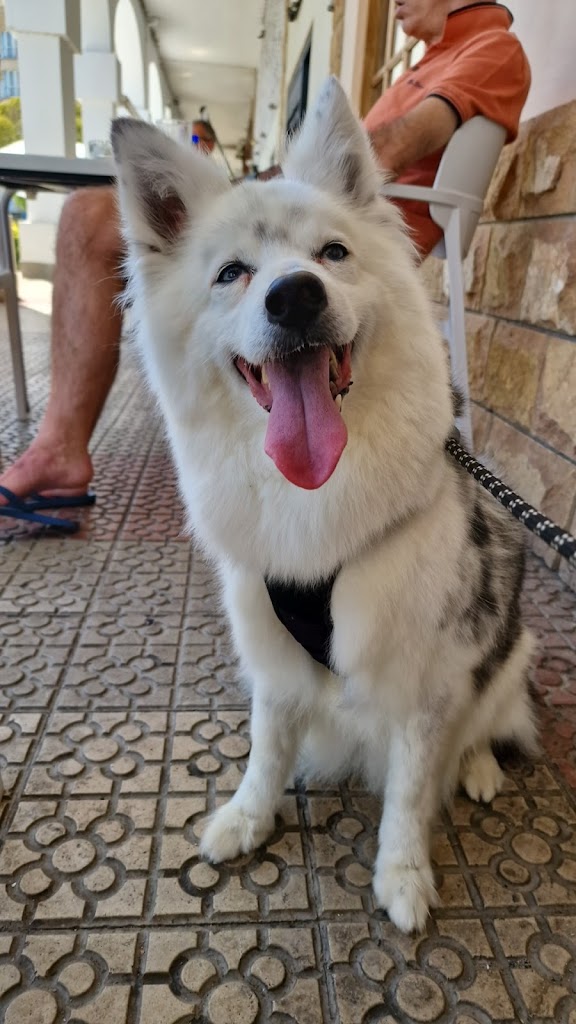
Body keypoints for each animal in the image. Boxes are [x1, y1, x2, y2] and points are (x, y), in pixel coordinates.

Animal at [112, 78, 537, 933]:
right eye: (233, 273)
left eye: (332, 254)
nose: (296, 297)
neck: (313, 495)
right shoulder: (270, 653)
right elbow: (267, 747)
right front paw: (248, 816)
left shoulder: (427, 677)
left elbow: (410, 786)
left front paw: (403, 875)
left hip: (514, 649)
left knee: (486, 719)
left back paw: (477, 768)